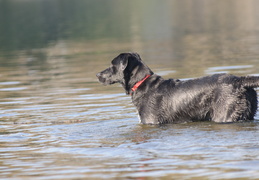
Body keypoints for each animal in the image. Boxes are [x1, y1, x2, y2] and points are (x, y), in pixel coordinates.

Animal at [97, 52, 259, 124]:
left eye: (112, 65)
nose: (98, 74)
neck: (142, 82)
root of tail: (240, 80)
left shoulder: (151, 121)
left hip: (225, 115)